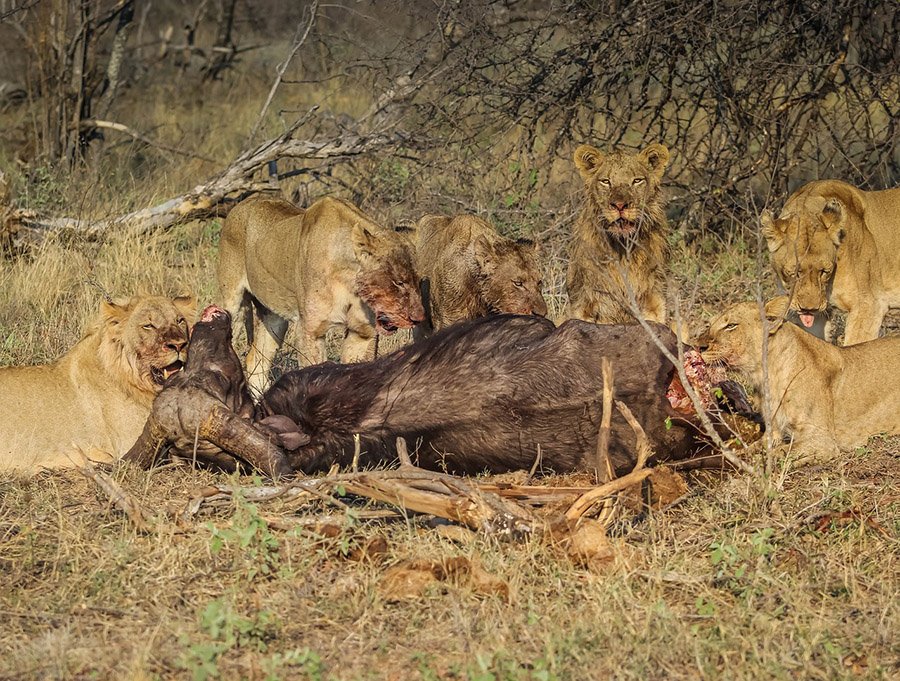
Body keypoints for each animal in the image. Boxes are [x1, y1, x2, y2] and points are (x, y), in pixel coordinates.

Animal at [217, 196, 425, 393]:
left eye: (419, 280)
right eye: (398, 282)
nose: (419, 319)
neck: (349, 281)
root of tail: (241, 204)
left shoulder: (362, 333)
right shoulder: (310, 330)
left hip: (274, 317)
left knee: (256, 360)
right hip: (233, 303)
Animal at [566, 142, 671, 325]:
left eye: (637, 181)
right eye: (606, 182)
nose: (620, 205)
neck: (622, 249)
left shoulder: (654, 300)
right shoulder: (584, 303)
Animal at [698, 296, 900, 463]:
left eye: (731, 325)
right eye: (709, 325)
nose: (698, 345)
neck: (766, 376)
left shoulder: (822, 440)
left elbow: (777, 453)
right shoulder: (773, 432)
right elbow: (752, 448)